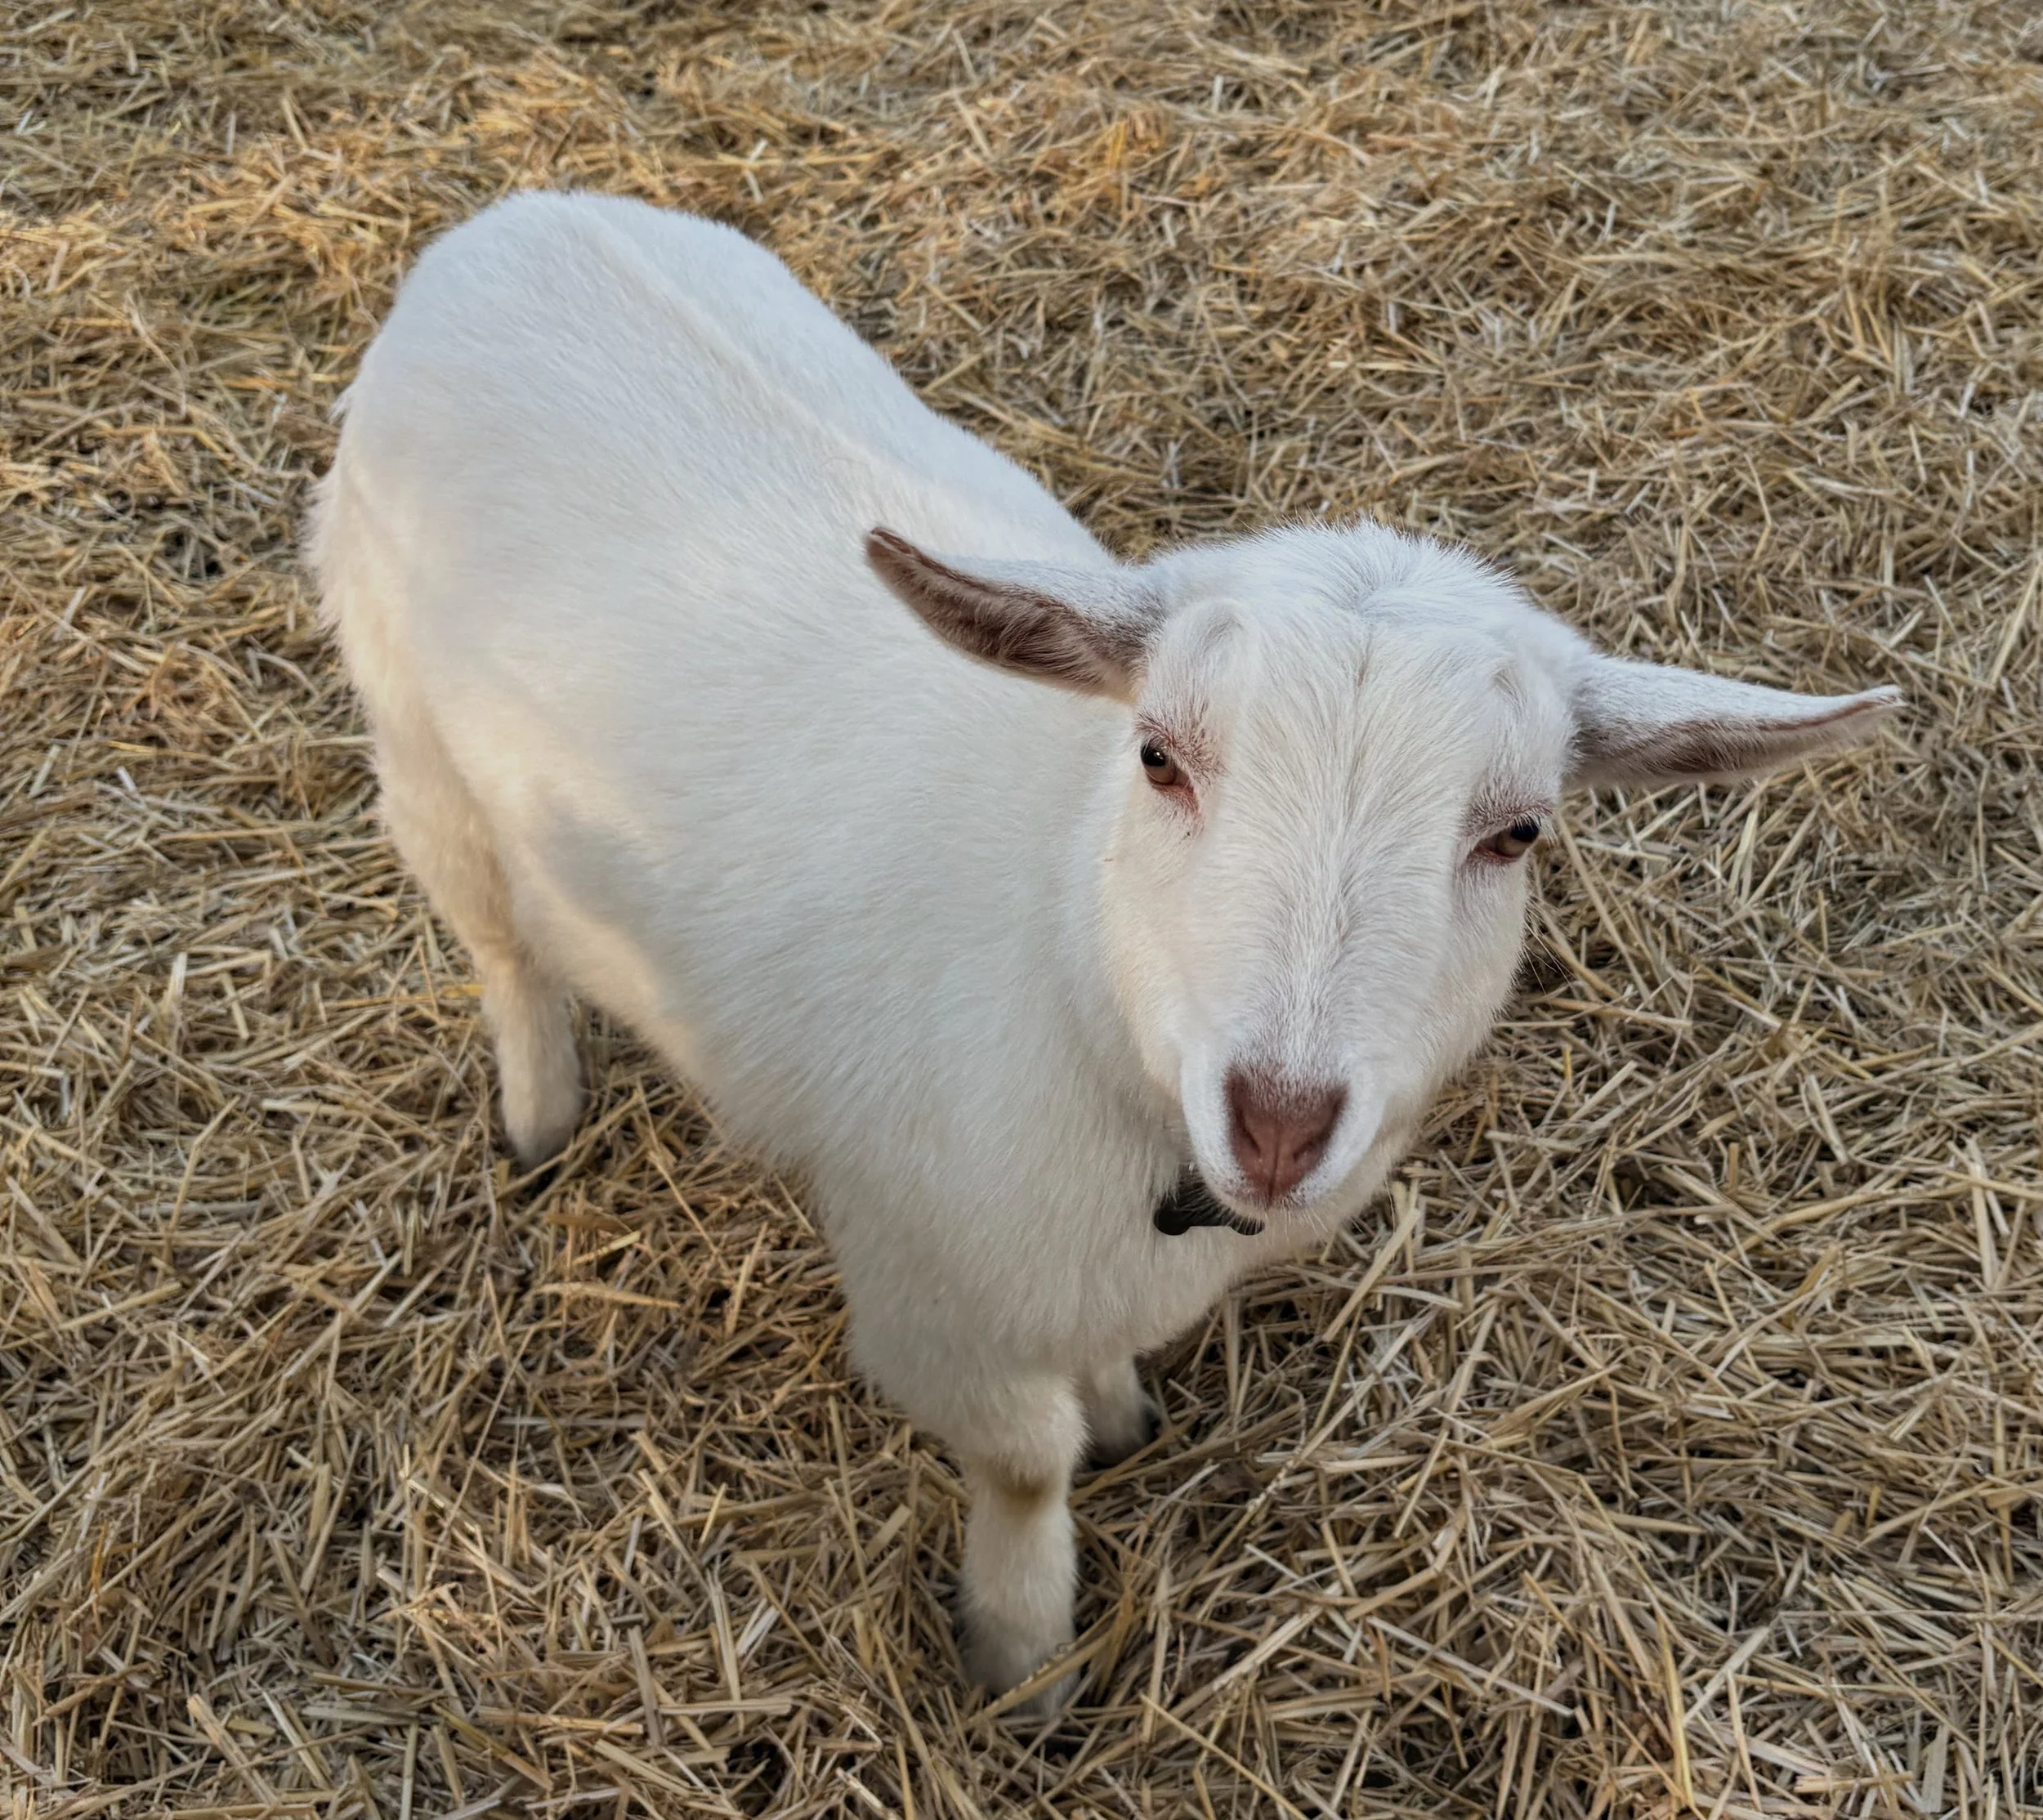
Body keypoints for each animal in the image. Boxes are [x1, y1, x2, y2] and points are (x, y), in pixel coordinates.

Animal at [310, 191, 1898, 1713]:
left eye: (1517, 832)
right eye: (1158, 756)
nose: (1279, 1119)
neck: (1068, 961)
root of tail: (508, 223)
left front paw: (1129, 1412)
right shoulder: (938, 1300)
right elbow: (1027, 1466)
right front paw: (1023, 1663)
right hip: (418, 746)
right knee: (503, 946)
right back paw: (539, 1118)